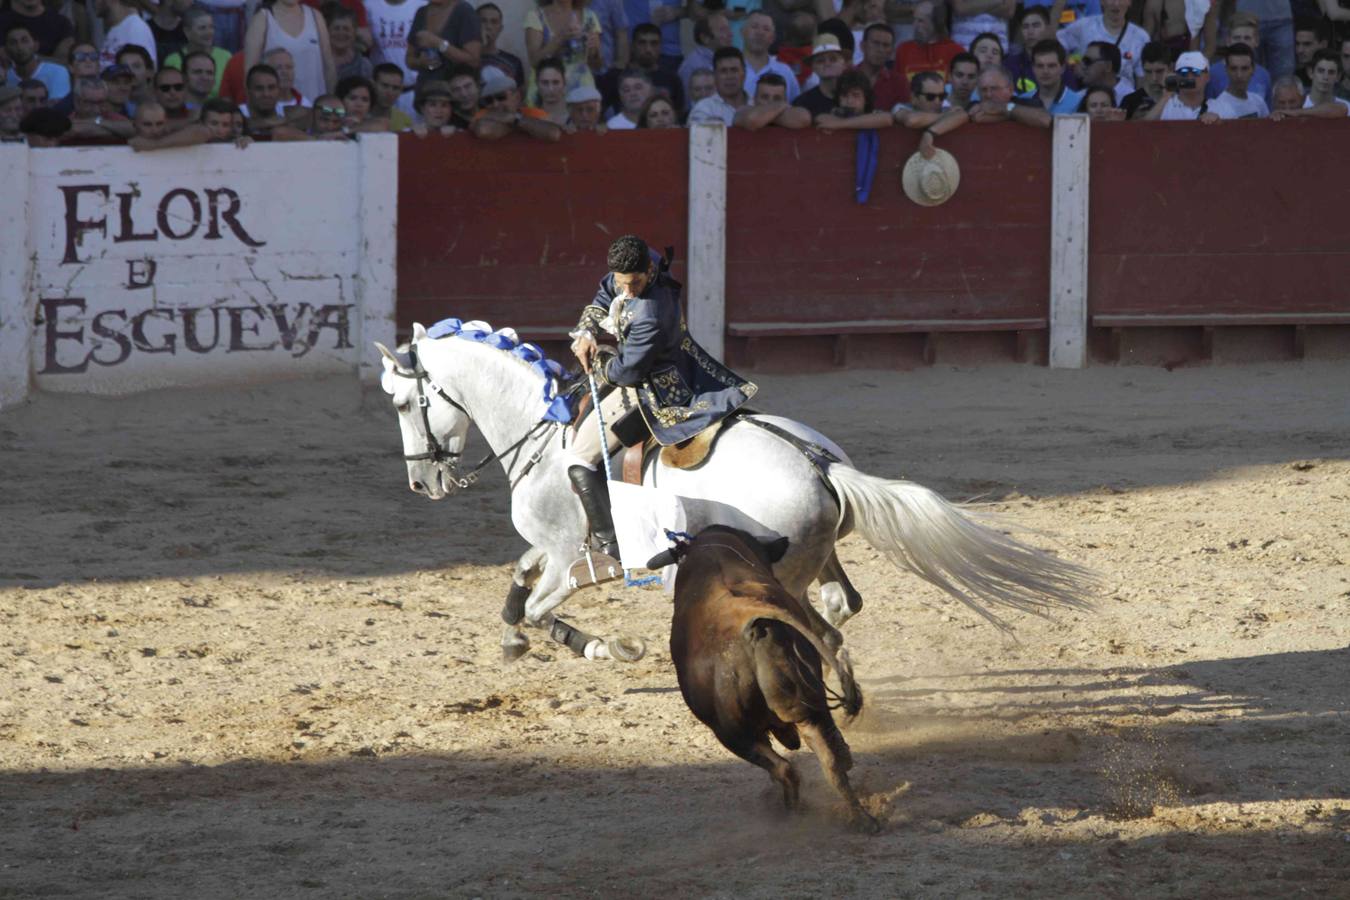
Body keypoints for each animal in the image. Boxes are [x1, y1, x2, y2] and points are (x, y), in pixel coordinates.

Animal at [378, 319, 1096, 666]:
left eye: (404, 403)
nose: (421, 481)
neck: (543, 430)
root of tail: (823, 467)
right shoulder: (573, 556)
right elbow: (520, 584)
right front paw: (520, 641)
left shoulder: (567, 552)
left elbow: (535, 603)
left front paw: (607, 646)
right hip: (816, 558)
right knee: (842, 605)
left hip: (778, 571)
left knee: (818, 628)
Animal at [661, 523, 874, 836]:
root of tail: (756, 626)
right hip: (810, 712)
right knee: (831, 762)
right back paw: (861, 818)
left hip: (734, 734)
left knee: (785, 769)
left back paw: (791, 813)